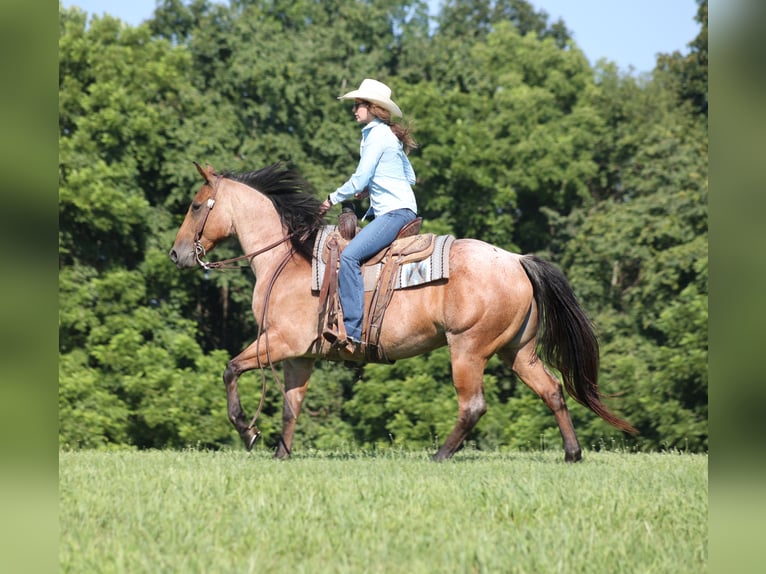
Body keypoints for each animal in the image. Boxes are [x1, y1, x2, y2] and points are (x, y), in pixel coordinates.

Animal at [169, 162, 637, 462]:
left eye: (195, 205)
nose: (176, 254)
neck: (287, 260)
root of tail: (517, 259)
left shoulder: (278, 343)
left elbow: (231, 369)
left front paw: (247, 430)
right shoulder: (299, 355)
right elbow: (290, 406)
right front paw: (280, 454)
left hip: (467, 350)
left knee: (473, 405)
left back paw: (440, 455)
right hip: (518, 352)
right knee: (553, 391)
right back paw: (572, 453)